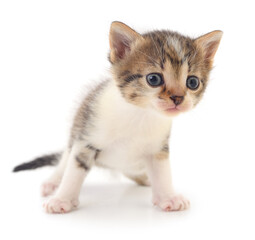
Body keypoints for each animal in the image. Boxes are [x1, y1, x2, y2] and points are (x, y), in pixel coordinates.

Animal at [12, 21, 222, 213]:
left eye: (192, 82)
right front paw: (62, 200)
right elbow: (73, 172)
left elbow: (162, 173)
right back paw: (53, 182)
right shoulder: (85, 141)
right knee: (63, 161)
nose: (178, 98)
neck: (139, 115)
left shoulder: (158, 149)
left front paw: (168, 197)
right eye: (153, 79)